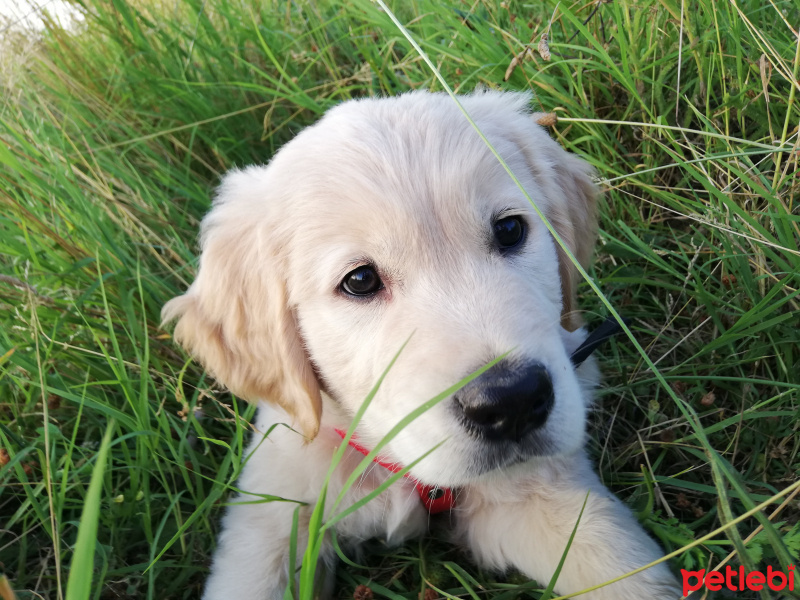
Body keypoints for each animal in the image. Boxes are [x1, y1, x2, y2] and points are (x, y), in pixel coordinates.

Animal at [162, 90, 680, 600]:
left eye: (510, 230)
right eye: (360, 280)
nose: (512, 401)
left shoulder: (539, 490)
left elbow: (623, 570)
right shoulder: (275, 506)